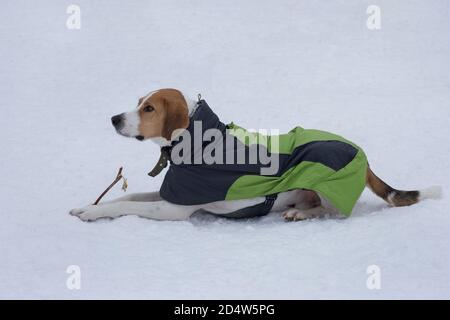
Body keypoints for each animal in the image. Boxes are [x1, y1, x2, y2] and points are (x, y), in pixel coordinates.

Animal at [69, 89, 440, 221]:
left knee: (332, 212)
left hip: (323, 181)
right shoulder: (170, 193)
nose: (114, 119)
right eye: (137, 102)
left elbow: (127, 206)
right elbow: (126, 198)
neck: (200, 142)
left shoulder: (173, 209)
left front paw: (93, 213)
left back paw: (301, 214)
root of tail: (362, 155)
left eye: (148, 108)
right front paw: (87, 206)